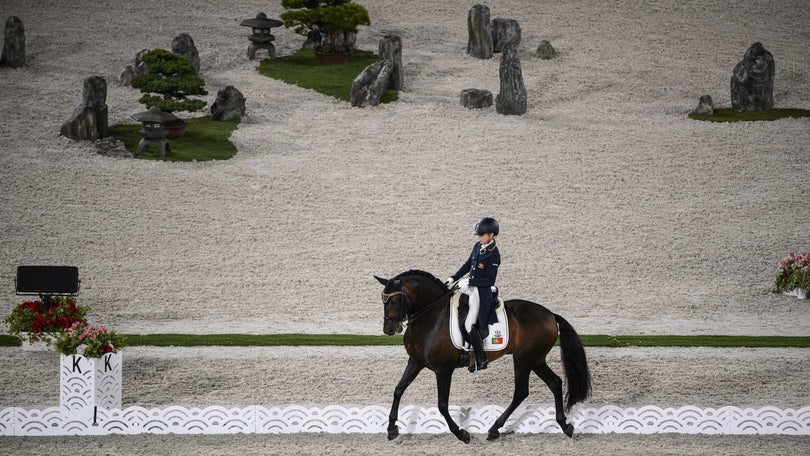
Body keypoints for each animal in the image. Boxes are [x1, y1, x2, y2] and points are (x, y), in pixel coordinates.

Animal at [370, 268, 588, 444]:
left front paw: (462, 434)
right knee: (554, 383)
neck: (431, 317)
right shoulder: (416, 361)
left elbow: (442, 405)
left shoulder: (443, 369)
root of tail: (550, 315)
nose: (389, 329)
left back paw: (494, 429)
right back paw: (564, 426)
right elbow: (398, 389)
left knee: (521, 392)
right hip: (536, 359)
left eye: (395, 300)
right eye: (383, 299)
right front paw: (391, 429)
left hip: (524, 360)